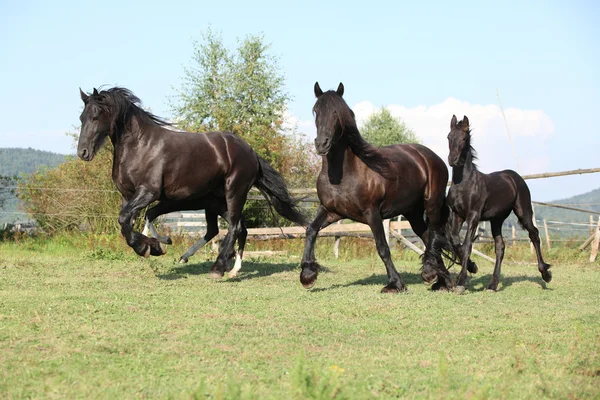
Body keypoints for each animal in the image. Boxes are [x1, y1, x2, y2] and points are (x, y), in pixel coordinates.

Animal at [77, 86, 308, 278]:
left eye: (96, 116)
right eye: (81, 118)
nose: (83, 152)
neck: (141, 146)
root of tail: (250, 151)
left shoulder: (148, 193)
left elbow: (127, 219)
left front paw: (149, 247)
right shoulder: (128, 196)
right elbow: (126, 223)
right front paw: (154, 246)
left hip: (234, 192)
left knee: (234, 227)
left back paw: (218, 268)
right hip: (218, 202)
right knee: (236, 228)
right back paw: (231, 268)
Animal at [300, 82, 454, 294]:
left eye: (336, 112)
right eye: (316, 110)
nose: (321, 143)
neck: (342, 175)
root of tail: (431, 157)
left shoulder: (372, 214)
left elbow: (382, 247)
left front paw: (395, 284)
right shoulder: (331, 211)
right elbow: (310, 230)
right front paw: (307, 276)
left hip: (432, 204)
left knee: (435, 235)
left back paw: (432, 275)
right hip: (413, 212)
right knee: (427, 235)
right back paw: (443, 281)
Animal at [448, 115, 552, 290]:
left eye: (464, 138)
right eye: (448, 137)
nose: (452, 160)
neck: (464, 184)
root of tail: (514, 177)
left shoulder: (473, 216)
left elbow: (468, 244)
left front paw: (462, 282)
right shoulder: (457, 215)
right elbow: (456, 242)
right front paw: (472, 267)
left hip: (523, 212)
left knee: (534, 234)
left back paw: (546, 274)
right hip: (496, 219)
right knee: (500, 246)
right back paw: (493, 284)